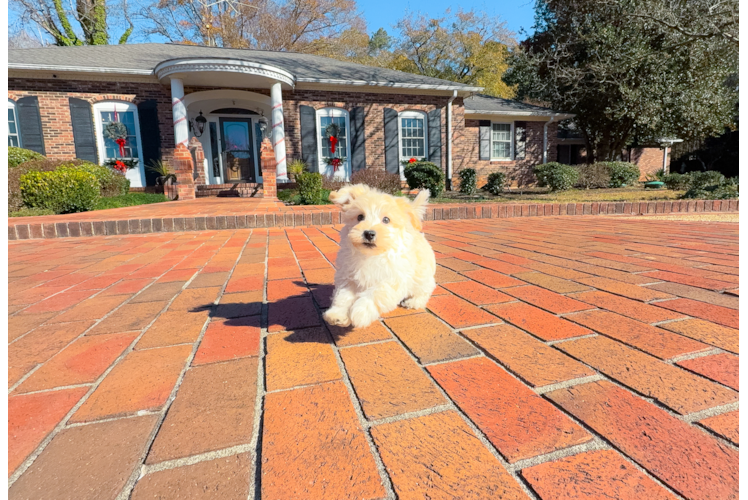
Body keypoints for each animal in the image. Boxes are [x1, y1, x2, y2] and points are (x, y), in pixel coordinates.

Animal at [322, 184, 438, 328]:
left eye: (386, 220)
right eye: (360, 217)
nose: (369, 233)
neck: (371, 255)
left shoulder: (393, 279)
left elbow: (376, 293)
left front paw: (360, 312)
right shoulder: (349, 277)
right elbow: (343, 296)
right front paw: (337, 314)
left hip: (423, 277)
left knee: (424, 290)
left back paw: (413, 301)